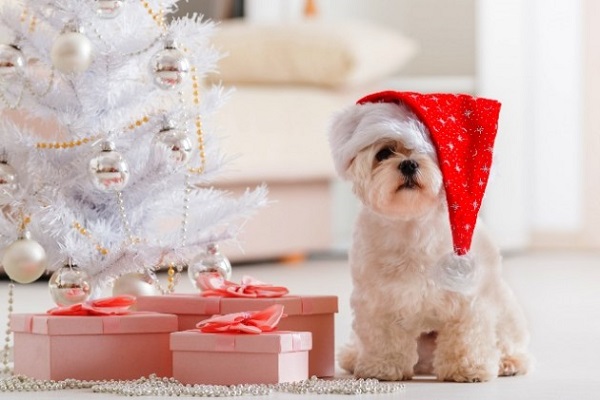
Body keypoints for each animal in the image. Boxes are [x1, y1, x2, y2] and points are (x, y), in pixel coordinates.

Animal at [330, 90, 532, 382]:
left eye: (432, 151)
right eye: (384, 153)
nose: (409, 164)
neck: (412, 223)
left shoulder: (468, 298)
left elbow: (466, 336)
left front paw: (467, 368)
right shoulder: (378, 300)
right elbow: (383, 337)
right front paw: (382, 367)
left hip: (505, 309)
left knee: (508, 339)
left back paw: (508, 361)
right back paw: (354, 356)